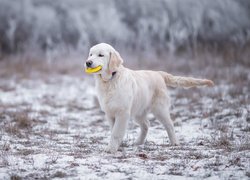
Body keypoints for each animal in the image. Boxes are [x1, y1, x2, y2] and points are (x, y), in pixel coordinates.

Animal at [84, 43, 213, 153]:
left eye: (101, 55)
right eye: (91, 54)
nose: (88, 62)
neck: (110, 80)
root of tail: (159, 73)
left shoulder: (122, 112)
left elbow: (116, 132)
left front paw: (110, 149)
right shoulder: (110, 113)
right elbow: (113, 130)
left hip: (160, 109)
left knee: (169, 125)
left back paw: (175, 143)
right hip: (139, 110)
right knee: (146, 124)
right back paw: (138, 142)